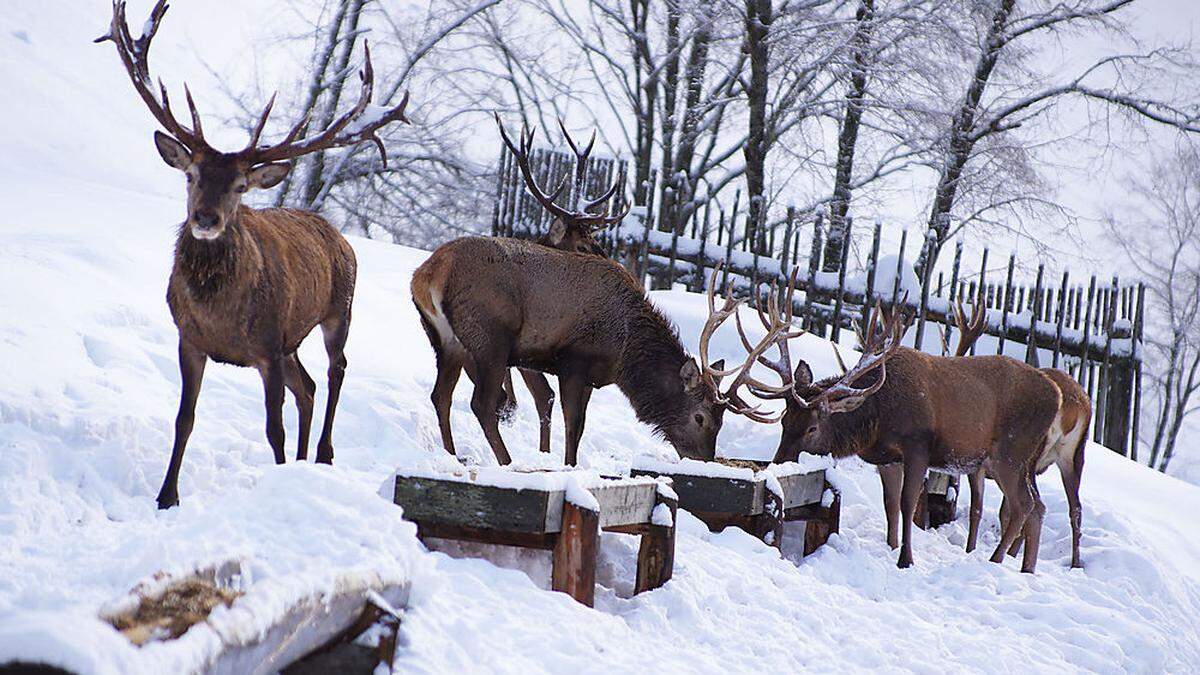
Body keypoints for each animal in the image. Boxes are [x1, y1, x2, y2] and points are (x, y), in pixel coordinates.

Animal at [96, 0, 412, 504]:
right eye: (191, 175)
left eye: (241, 186)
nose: (206, 218)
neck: (221, 318)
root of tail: (335, 232)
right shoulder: (191, 339)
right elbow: (184, 419)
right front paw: (167, 496)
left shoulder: (266, 346)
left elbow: (272, 429)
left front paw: (277, 479)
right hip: (291, 341)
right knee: (308, 387)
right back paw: (302, 462)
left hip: (338, 309)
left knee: (336, 370)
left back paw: (322, 454)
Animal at [734, 283, 1065, 566]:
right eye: (784, 421)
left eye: (812, 428)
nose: (779, 463)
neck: (878, 420)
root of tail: (1058, 395)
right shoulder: (887, 458)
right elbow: (890, 504)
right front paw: (892, 547)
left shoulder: (918, 446)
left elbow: (908, 503)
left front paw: (906, 559)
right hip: (1024, 461)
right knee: (1038, 506)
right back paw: (1026, 568)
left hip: (1011, 451)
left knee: (1023, 504)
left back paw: (995, 560)